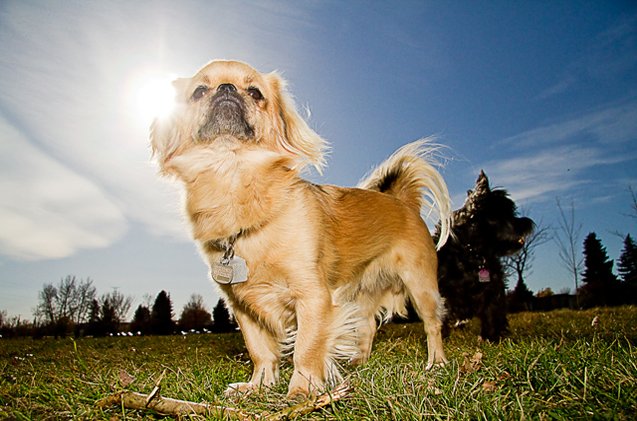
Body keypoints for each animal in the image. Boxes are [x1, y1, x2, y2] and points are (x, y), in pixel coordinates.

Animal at [151, 59, 452, 398]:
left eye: (255, 92)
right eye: (199, 91)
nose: (226, 88)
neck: (232, 176)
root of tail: (402, 202)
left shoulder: (313, 297)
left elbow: (306, 349)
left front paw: (301, 391)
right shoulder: (243, 306)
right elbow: (260, 350)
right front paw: (259, 386)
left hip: (420, 284)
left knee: (432, 324)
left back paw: (436, 363)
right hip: (362, 292)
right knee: (367, 325)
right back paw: (358, 362)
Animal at [434, 171, 536, 342]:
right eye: (505, 213)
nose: (527, 223)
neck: (473, 252)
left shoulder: (493, 288)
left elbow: (492, 312)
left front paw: (491, 337)